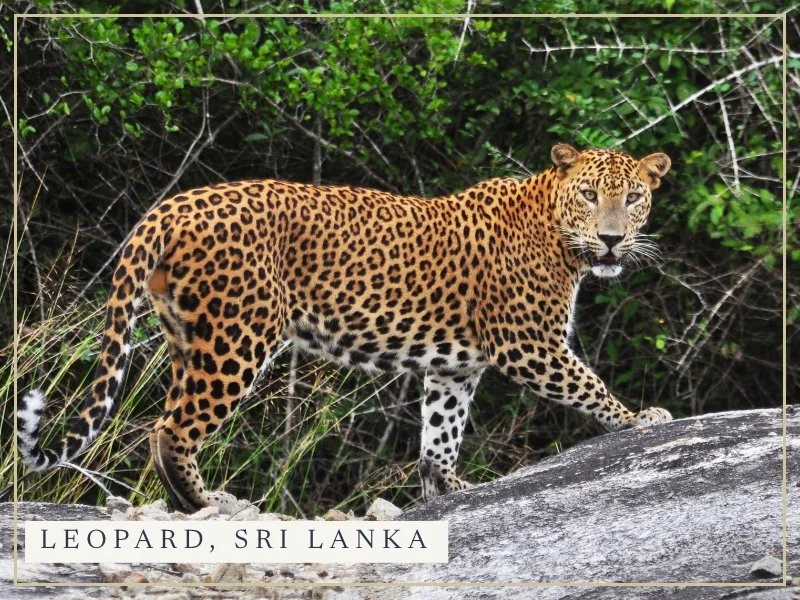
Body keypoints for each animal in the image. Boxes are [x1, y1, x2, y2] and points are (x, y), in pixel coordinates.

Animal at [18, 143, 673, 513]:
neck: (561, 237)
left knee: (169, 419)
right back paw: (208, 502)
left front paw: (447, 490)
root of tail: (171, 205)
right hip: (238, 336)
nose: (612, 239)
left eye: (634, 197)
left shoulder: (454, 367)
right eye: (589, 194)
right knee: (172, 428)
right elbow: (587, 383)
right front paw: (641, 419)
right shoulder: (528, 343)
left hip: (189, 337)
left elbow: (440, 433)